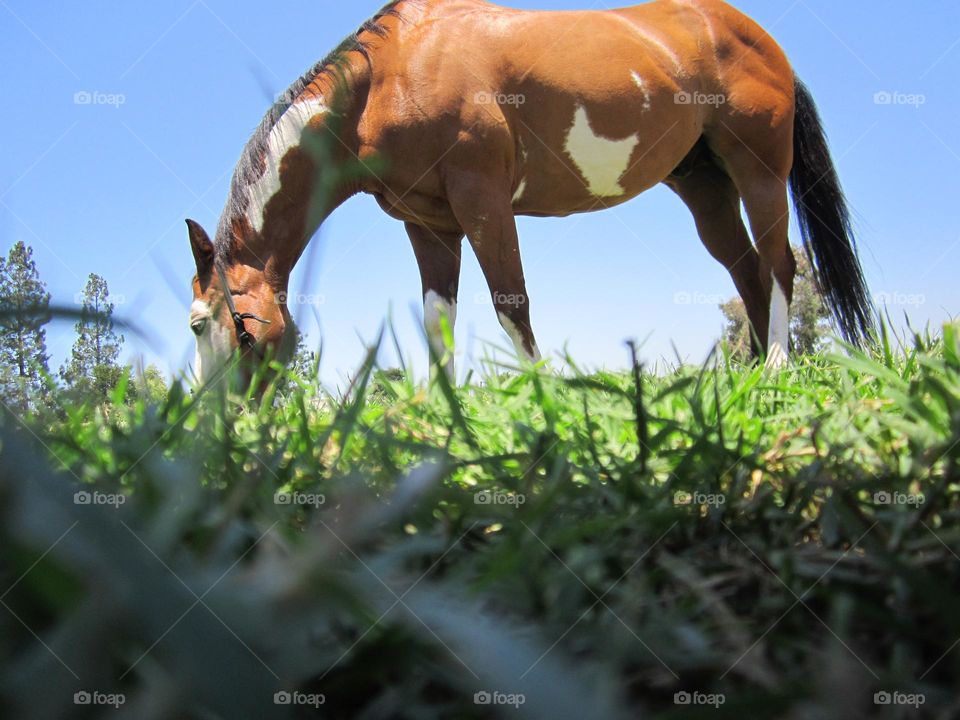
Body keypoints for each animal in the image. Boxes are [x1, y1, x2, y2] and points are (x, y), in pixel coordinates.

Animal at [186, 0, 873, 383]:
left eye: (201, 325)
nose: (215, 428)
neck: (390, 75)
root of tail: (757, 36)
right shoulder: (430, 224)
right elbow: (438, 324)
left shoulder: (483, 202)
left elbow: (510, 304)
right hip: (706, 191)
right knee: (748, 272)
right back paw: (752, 377)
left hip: (760, 172)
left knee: (780, 265)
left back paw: (778, 367)